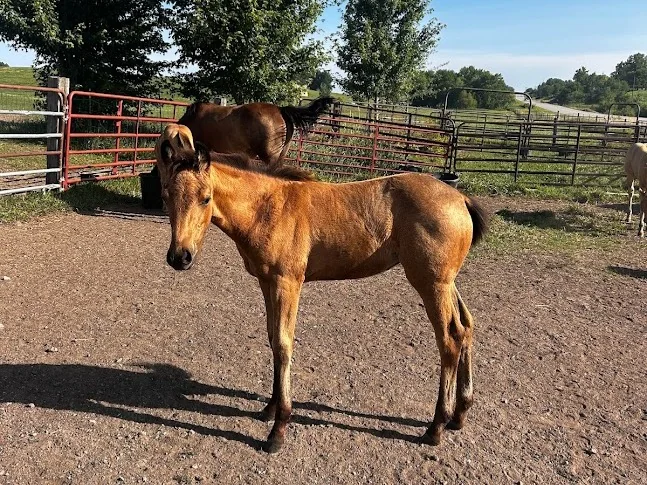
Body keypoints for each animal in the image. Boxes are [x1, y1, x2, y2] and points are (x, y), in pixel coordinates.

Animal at [156, 129, 488, 453]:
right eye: (166, 194)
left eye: (205, 198)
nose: (179, 257)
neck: (269, 208)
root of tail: (460, 198)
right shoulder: (266, 282)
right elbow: (272, 339)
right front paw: (269, 408)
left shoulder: (288, 282)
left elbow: (283, 344)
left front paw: (278, 430)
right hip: (446, 281)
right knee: (466, 327)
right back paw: (459, 414)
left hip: (431, 283)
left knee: (449, 339)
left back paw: (436, 427)